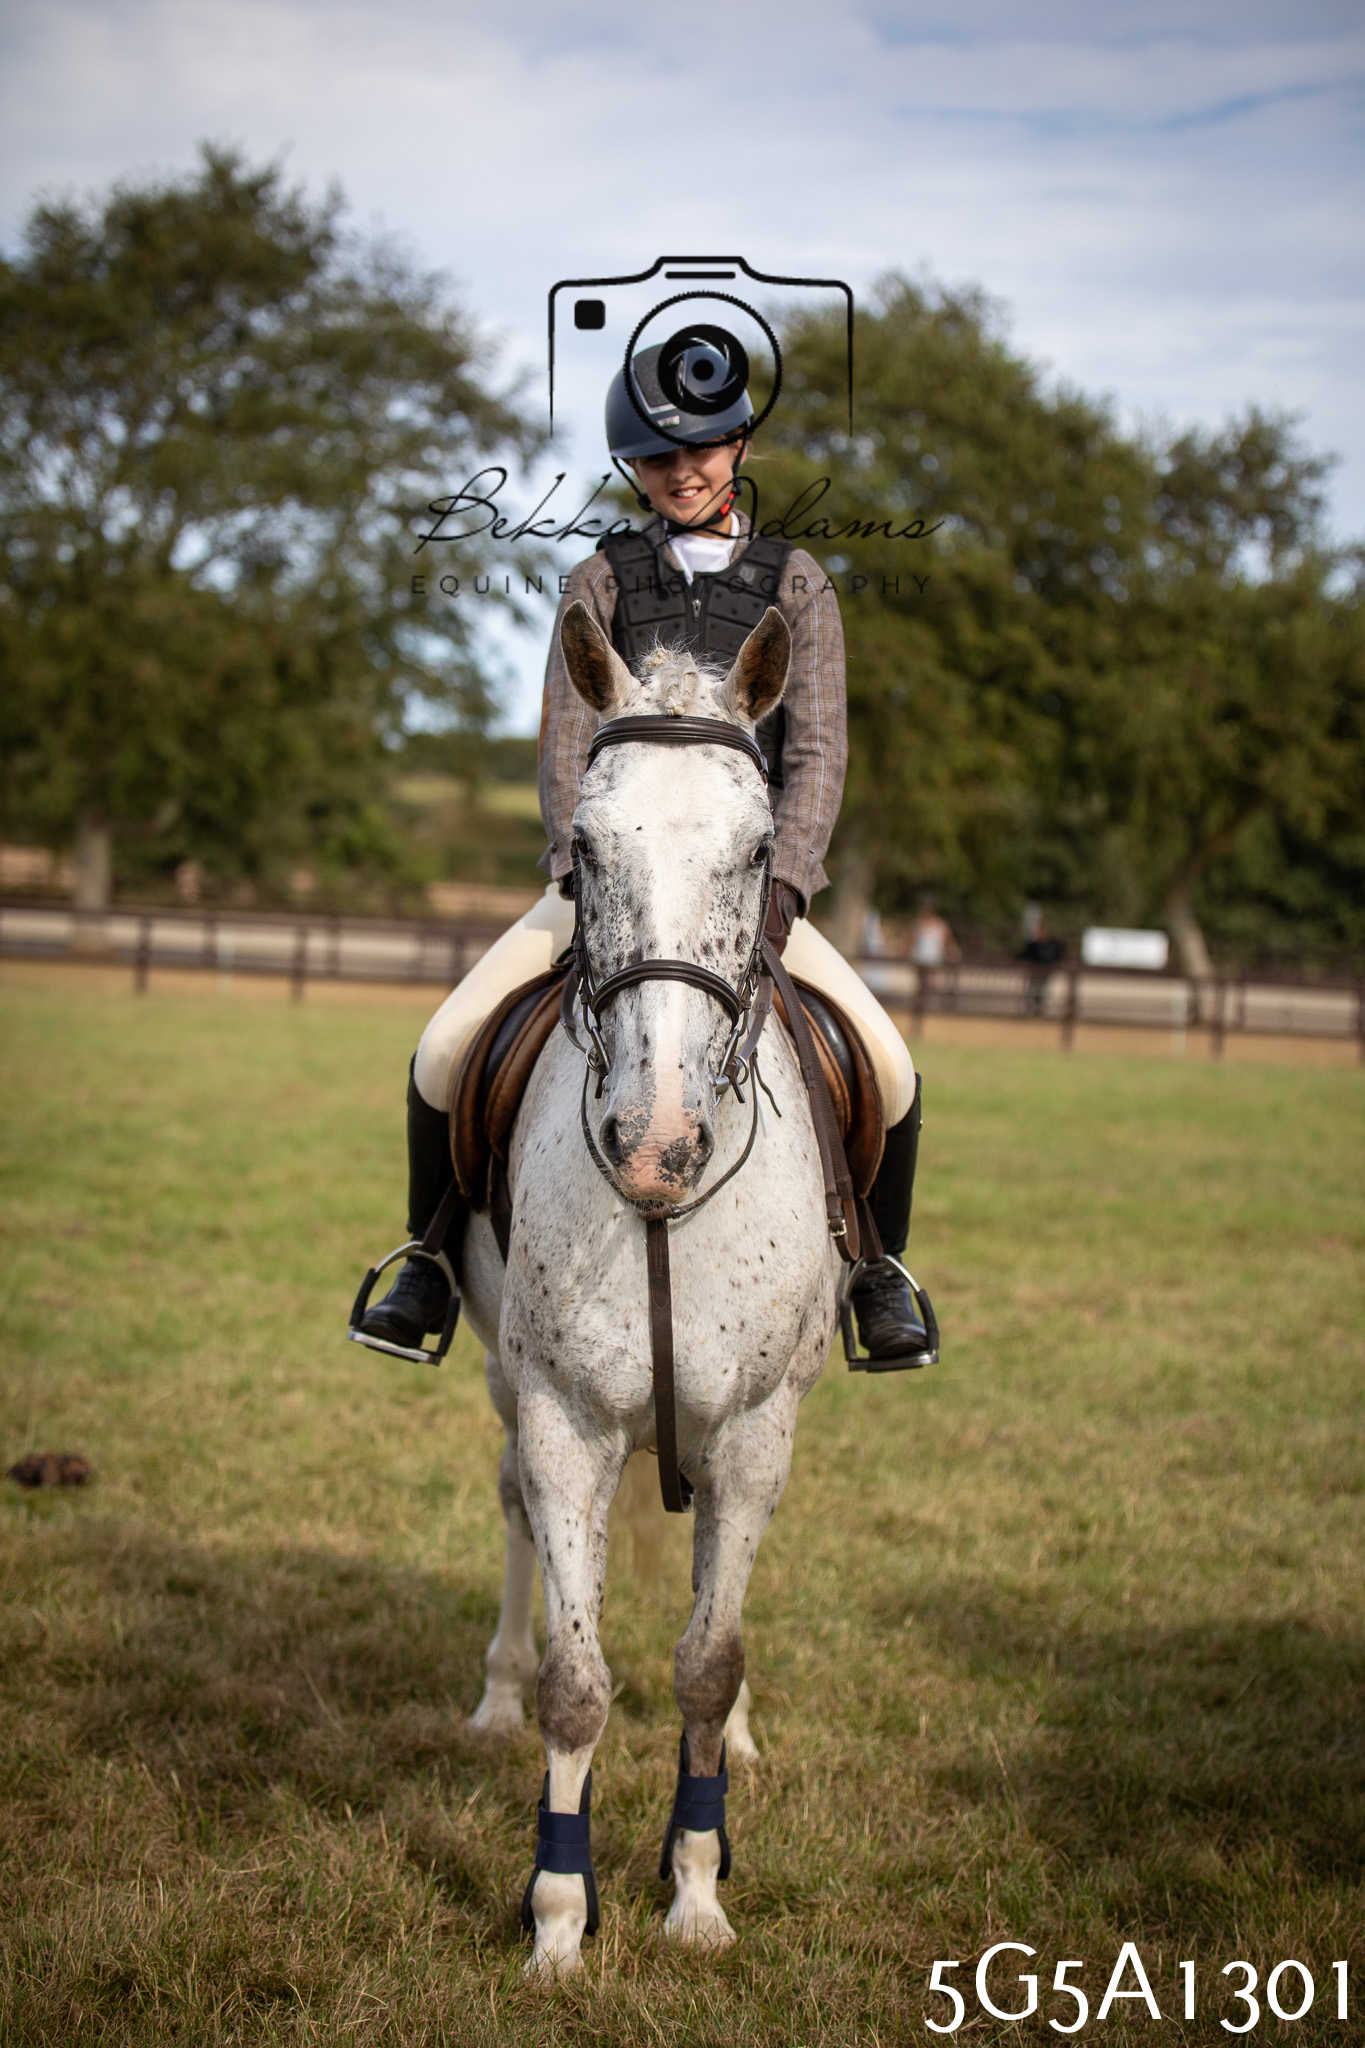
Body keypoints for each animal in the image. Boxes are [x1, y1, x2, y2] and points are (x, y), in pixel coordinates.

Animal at [458, 600, 843, 1975]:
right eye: (584, 847)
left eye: (756, 850)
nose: (657, 1142)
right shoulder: (565, 1417)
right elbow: (579, 1682)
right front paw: (559, 1919)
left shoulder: (755, 1429)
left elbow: (706, 1664)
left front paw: (697, 1891)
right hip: (506, 1380)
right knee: (513, 1509)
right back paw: (492, 1693)